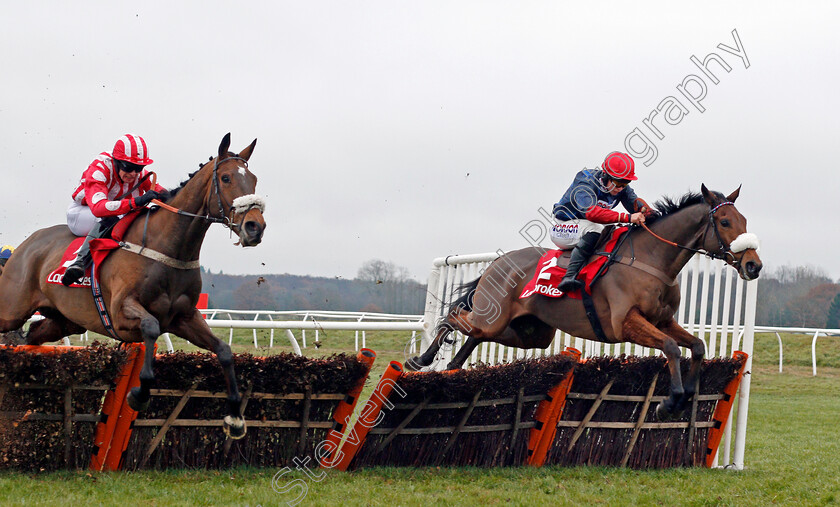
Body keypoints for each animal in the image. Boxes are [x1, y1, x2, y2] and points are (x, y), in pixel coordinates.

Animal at [0, 133, 266, 438]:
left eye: (254, 179)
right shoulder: (120, 312)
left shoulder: (185, 317)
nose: (255, 227)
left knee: (31, 336)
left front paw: (235, 416)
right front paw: (139, 393)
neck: (167, 247)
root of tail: (25, 245)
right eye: (225, 178)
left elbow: (223, 350)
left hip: (64, 321)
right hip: (11, 310)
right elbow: (150, 327)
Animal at [410, 185, 764, 418]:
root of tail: (499, 261)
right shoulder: (626, 323)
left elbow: (697, 346)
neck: (651, 258)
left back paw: (453, 365)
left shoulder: (663, 321)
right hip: (496, 318)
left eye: (745, 221)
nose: (753, 265)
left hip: (530, 333)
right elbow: (672, 348)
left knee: (474, 333)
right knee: (453, 316)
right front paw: (670, 400)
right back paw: (422, 359)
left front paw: (688, 394)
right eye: (725, 222)